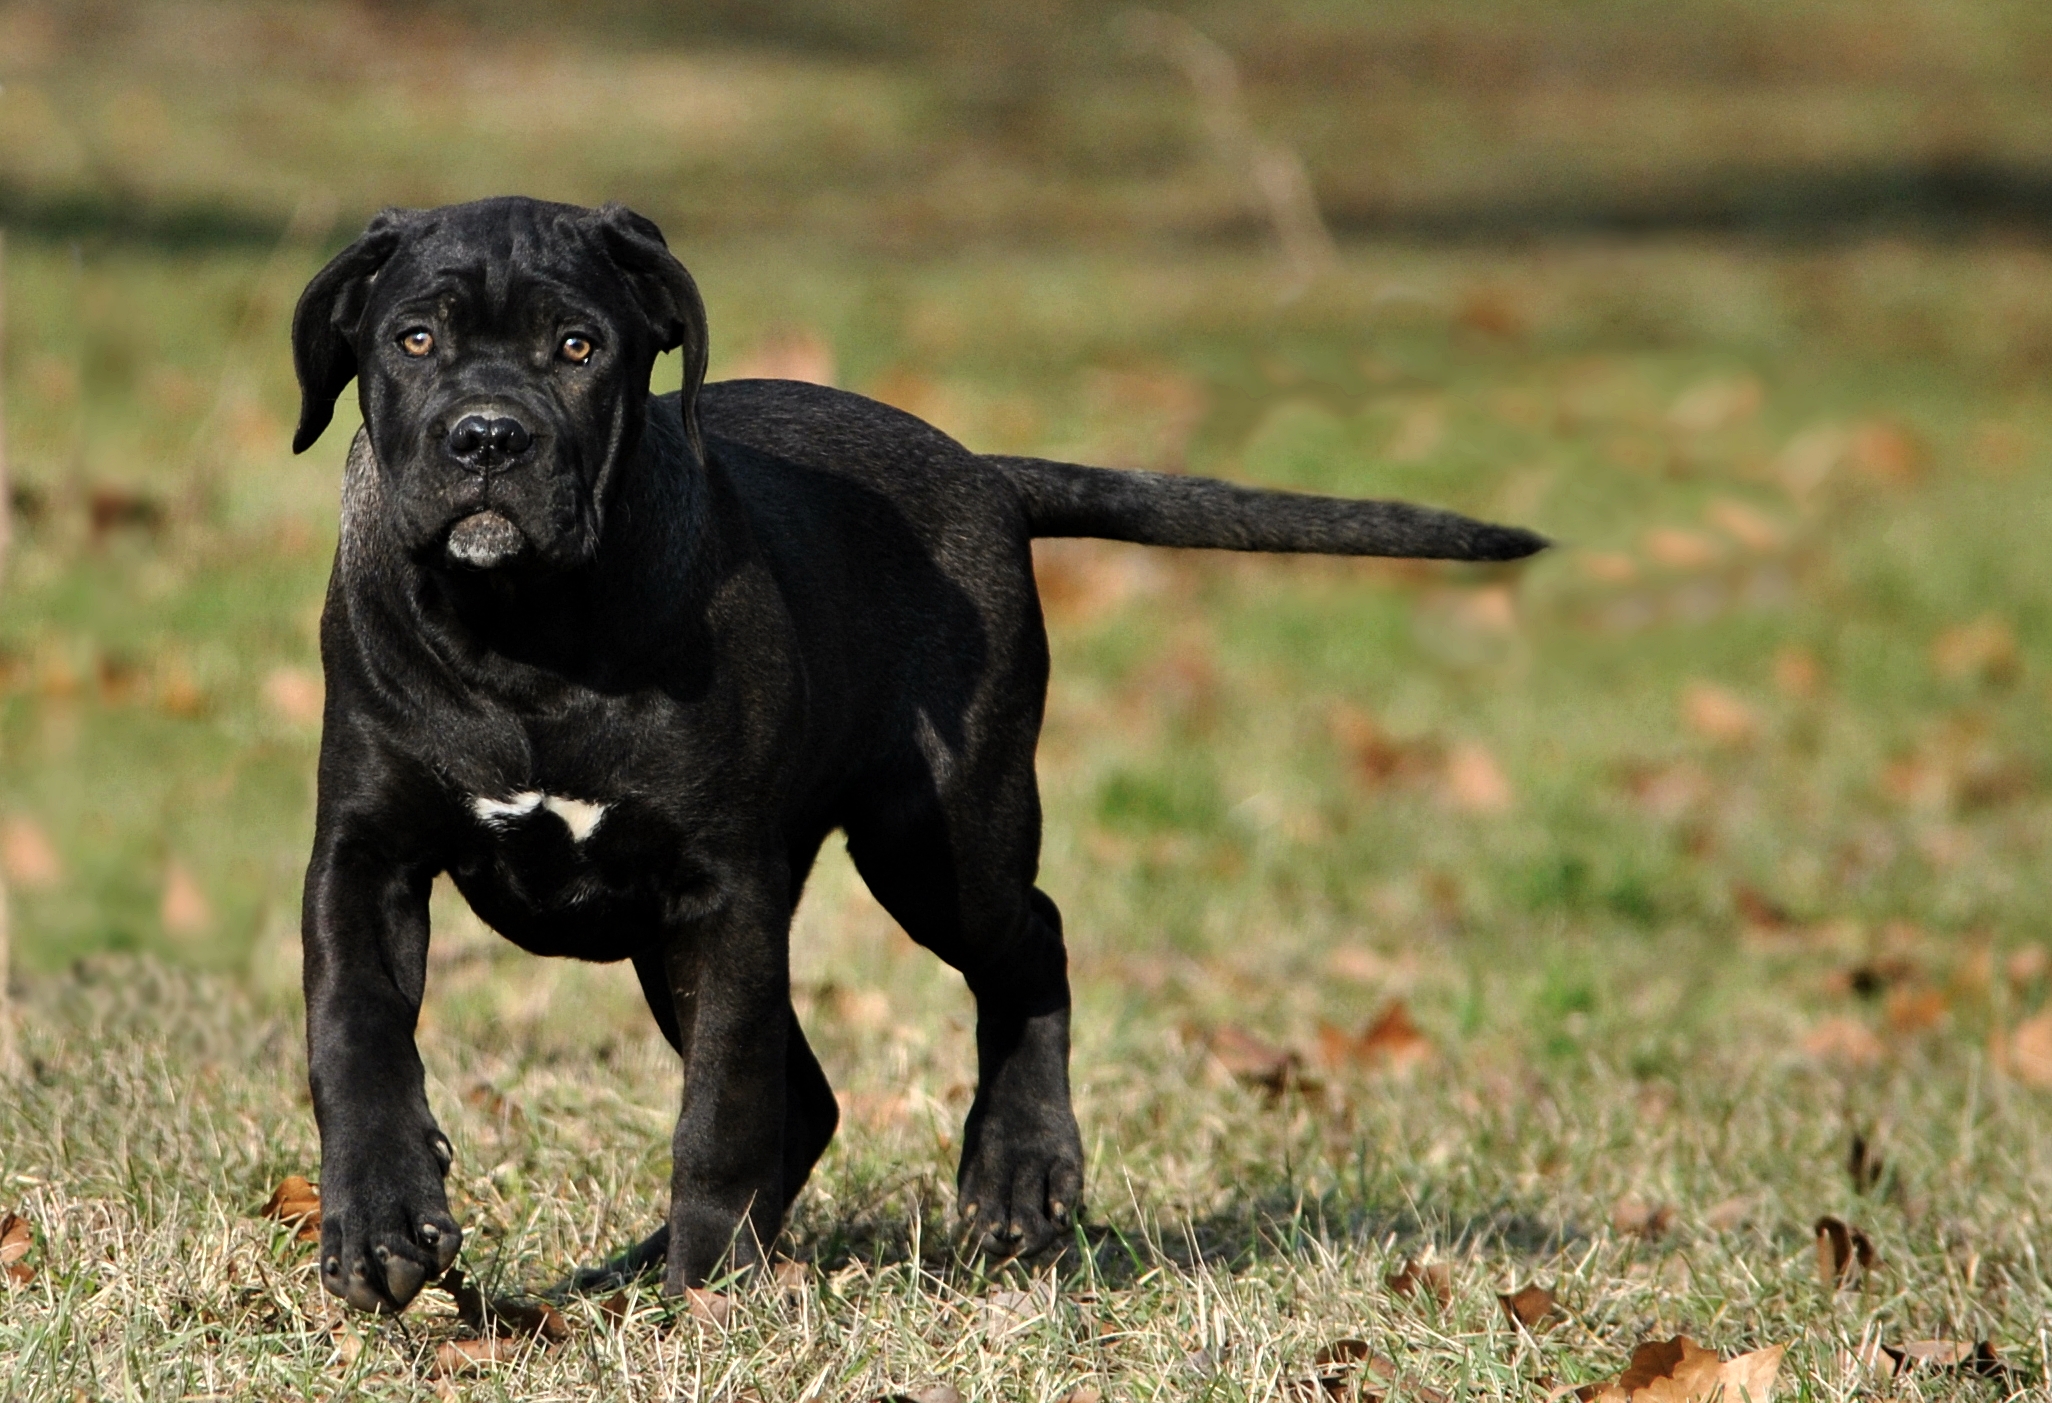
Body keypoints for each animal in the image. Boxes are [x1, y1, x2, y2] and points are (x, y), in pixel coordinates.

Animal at [285, 196, 1543, 1312]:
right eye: (414, 338)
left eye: (578, 346)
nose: (488, 434)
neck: (525, 634)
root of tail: (987, 471)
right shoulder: (366, 857)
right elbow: (356, 1031)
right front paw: (380, 1221)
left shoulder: (723, 889)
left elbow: (721, 1103)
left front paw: (711, 1290)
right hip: (705, 925)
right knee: (810, 1090)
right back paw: (647, 1265)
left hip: (937, 838)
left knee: (1026, 942)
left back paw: (1015, 1173)